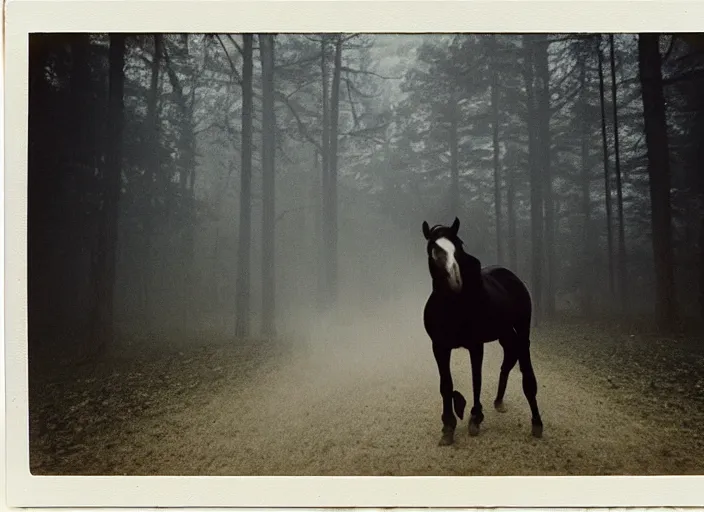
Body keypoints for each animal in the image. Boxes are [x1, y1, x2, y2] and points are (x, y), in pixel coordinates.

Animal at [420, 218, 540, 446]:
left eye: (459, 245)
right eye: (433, 248)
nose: (455, 280)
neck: (453, 306)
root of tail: (511, 276)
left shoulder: (475, 345)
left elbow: (477, 380)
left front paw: (475, 417)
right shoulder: (439, 347)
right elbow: (446, 385)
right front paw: (448, 426)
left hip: (522, 329)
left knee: (524, 368)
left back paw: (537, 422)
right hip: (505, 332)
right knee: (509, 358)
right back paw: (499, 401)